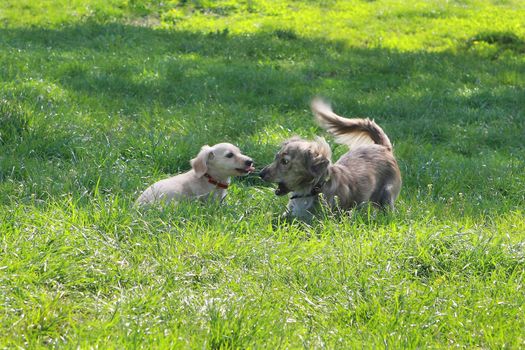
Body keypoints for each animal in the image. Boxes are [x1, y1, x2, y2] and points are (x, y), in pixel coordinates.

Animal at [258, 97, 402, 220]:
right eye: (276, 157)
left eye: (285, 162)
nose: (260, 173)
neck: (311, 190)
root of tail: (383, 147)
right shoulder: (289, 213)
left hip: (386, 195)